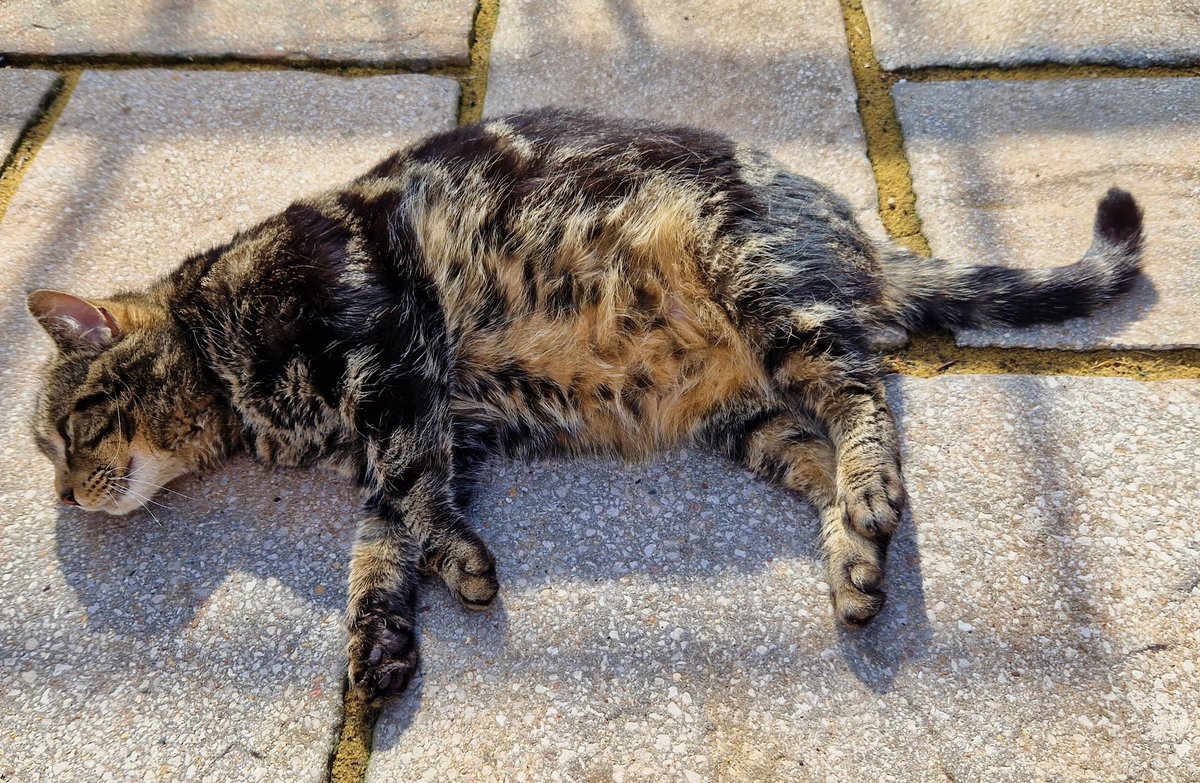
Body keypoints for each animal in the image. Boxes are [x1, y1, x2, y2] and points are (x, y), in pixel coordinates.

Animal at [21, 106, 1142, 701]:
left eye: (64, 435)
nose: (67, 499)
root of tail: (861, 239)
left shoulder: (388, 353)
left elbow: (402, 509)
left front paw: (436, 581)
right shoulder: (427, 419)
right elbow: (390, 529)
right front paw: (395, 621)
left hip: (764, 289)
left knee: (865, 399)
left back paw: (868, 501)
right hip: (751, 415)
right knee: (824, 457)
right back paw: (857, 553)